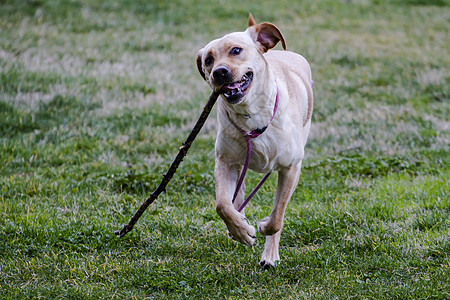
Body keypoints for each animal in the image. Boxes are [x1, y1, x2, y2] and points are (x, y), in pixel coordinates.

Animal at [197, 12, 312, 268]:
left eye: (236, 51)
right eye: (208, 60)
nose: (218, 72)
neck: (252, 113)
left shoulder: (291, 168)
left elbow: (277, 216)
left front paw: (263, 229)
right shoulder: (225, 161)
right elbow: (222, 205)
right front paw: (240, 230)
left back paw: (269, 255)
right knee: (235, 195)